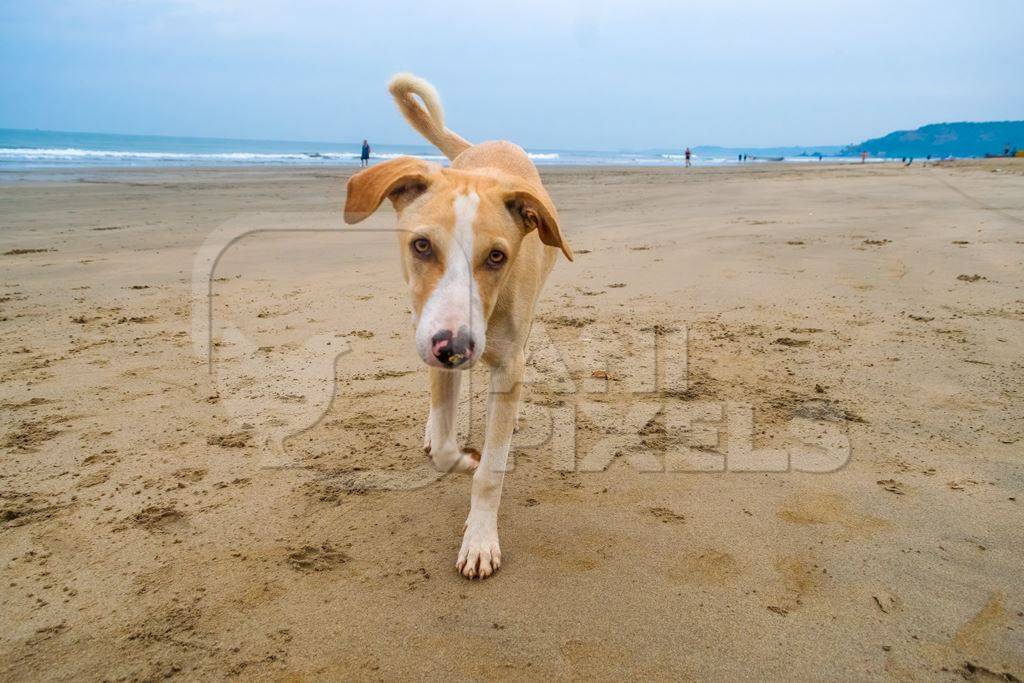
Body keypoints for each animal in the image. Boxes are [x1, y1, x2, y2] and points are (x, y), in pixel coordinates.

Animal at [342, 74, 569, 577]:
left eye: (498, 256)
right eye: (422, 245)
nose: (454, 348)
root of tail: (489, 146)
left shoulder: (507, 362)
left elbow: (492, 472)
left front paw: (480, 537)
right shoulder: (435, 342)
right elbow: (449, 448)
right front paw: (463, 456)